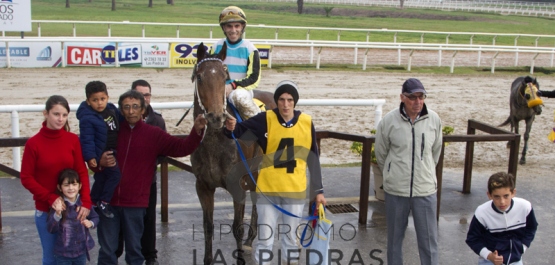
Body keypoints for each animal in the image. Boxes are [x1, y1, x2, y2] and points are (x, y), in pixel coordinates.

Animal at [191, 42, 278, 262]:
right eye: (200, 77)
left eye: (225, 76)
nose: (216, 117)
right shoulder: (203, 186)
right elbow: (208, 226)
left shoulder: (237, 187)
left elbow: (237, 226)